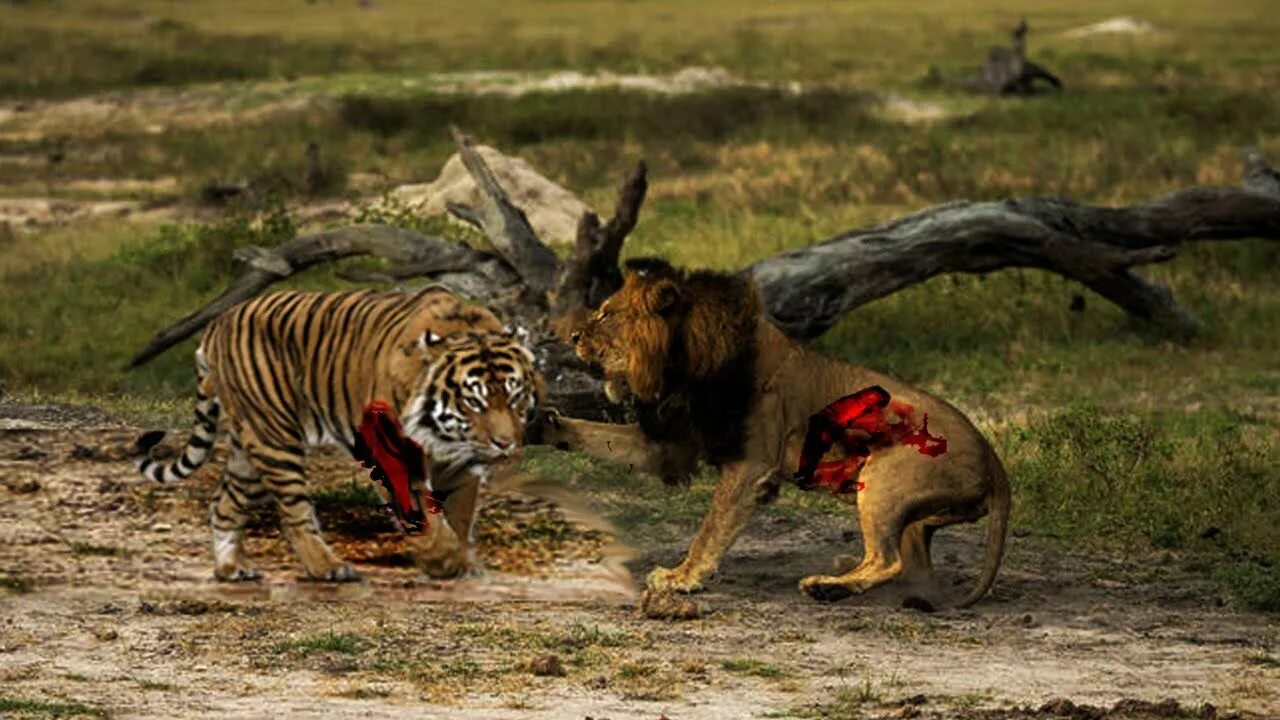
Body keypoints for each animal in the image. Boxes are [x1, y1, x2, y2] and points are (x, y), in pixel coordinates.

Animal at [132, 283, 542, 579]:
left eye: (515, 397)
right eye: (474, 402)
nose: (504, 444)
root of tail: (218, 323)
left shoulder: (459, 462)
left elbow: (458, 511)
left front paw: (462, 562)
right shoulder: (390, 449)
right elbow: (422, 513)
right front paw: (444, 560)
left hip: (249, 444)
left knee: (224, 502)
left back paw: (232, 568)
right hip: (276, 437)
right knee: (294, 511)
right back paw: (328, 567)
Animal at [540, 257, 1008, 604]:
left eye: (607, 313)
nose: (574, 336)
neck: (681, 367)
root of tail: (996, 464)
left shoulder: (751, 464)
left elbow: (711, 527)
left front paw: (681, 577)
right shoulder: (672, 445)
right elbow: (595, 433)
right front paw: (545, 424)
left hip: (884, 477)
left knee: (888, 560)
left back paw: (827, 587)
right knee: (913, 564)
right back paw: (846, 573)